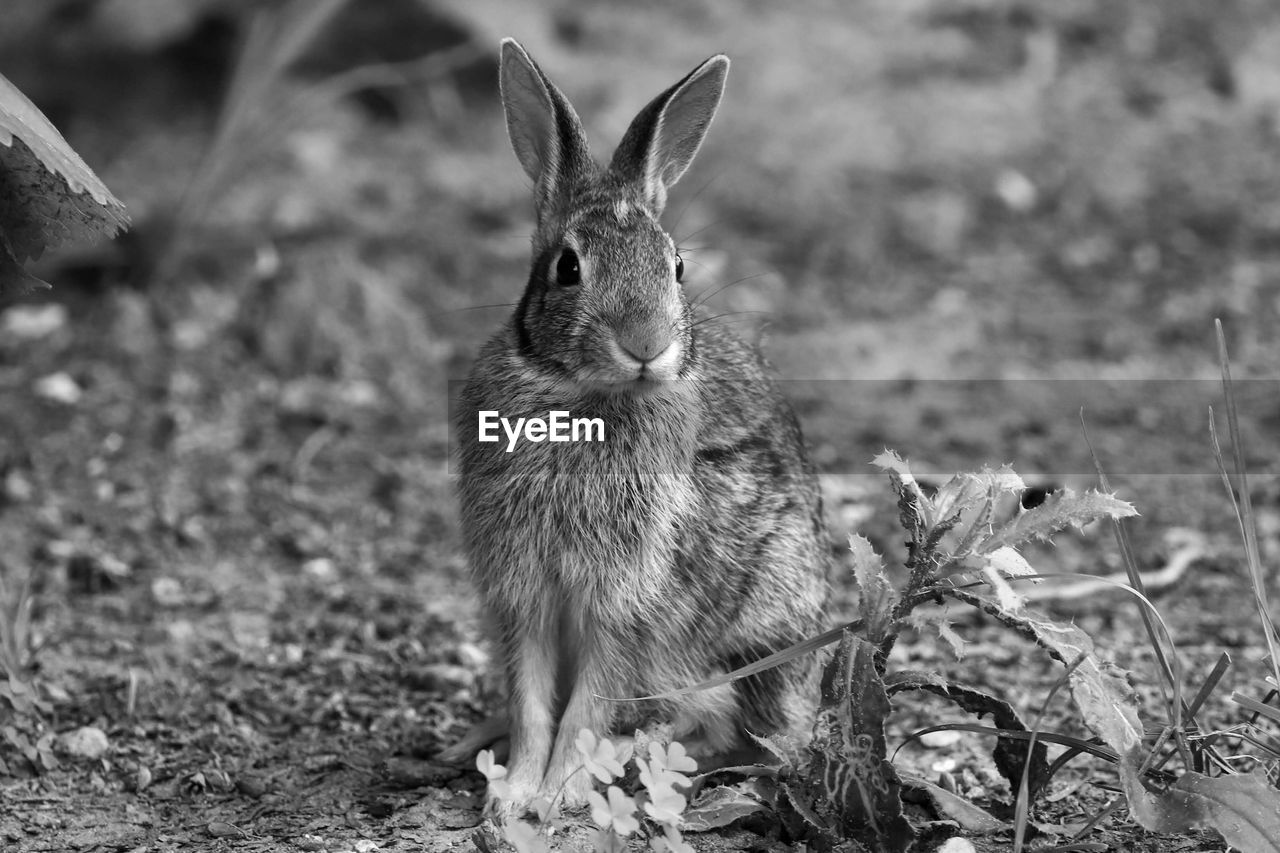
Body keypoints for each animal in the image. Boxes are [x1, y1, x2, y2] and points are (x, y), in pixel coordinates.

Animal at [453, 38, 829, 809]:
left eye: (677, 267)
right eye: (568, 268)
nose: (648, 344)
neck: (584, 396)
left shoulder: (627, 599)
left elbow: (590, 705)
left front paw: (557, 793)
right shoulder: (521, 593)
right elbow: (532, 698)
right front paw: (514, 794)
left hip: (756, 631)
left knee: (724, 728)